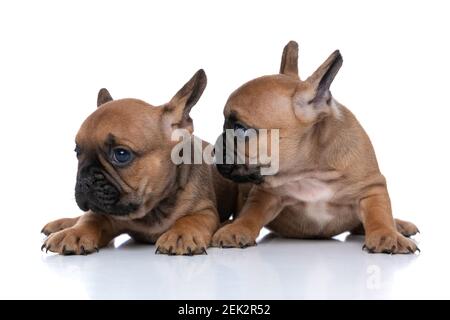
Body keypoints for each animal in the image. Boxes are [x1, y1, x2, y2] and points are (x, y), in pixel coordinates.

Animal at [42, 69, 237, 255]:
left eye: (121, 154)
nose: (84, 179)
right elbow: (91, 218)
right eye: (77, 152)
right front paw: (73, 233)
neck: (153, 211)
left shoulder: (205, 210)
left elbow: (191, 219)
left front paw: (181, 234)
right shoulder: (106, 214)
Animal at [214, 41, 418, 254]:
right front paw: (236, 228)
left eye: (240, 129)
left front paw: (387, 235)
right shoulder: (265, 194)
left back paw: (399, 225)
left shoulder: (371, 187)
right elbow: (249, 214)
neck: (308, 171)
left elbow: (379, 213)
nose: (215, 148)